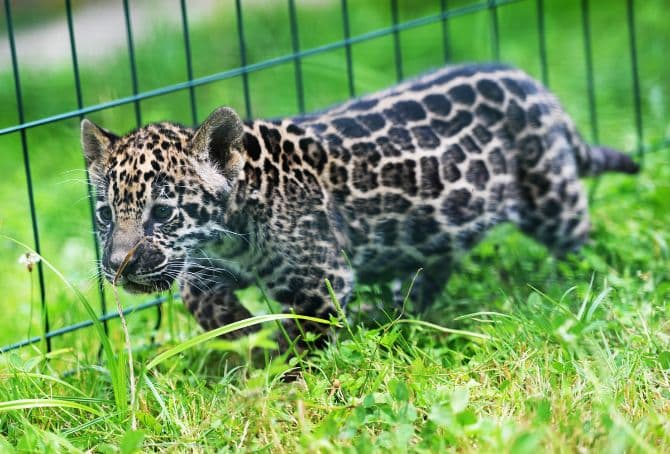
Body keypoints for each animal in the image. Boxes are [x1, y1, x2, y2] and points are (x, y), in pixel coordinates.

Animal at [81, 63, 638, 346]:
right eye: (106, 215)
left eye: (162, 213)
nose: (116, 264)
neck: (232, 229)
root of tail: (535, 85)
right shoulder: (212, 263)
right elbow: (196, 295)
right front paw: (240, 330)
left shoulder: (318, 283)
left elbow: (304, 341)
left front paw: (283, 376)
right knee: (434, 264)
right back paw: (395, 309)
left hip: (550, 194)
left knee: (578, 238)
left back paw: (578, 284)